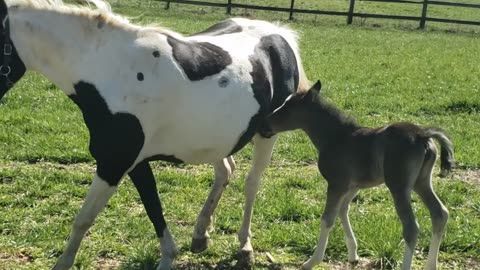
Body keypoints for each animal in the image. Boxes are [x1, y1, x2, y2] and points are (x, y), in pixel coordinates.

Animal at [0, 0, 308, 268]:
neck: (111, 71)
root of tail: (280, 35)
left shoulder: (114, 164)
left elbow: (84, 219)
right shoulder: (135, 163)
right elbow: (153, 209)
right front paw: (170, 255)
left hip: (266, 135)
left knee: (251, 184)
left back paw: (244, 248)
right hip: (216, 139)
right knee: (225, 171)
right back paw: (200, 234)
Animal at [262, 81, 454, 270]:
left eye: (287, 107)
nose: (264, 124)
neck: (335, 137)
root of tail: (423, 135)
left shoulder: (336, 184)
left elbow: (327, 219)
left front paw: (312, 261)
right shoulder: (353, 186)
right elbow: (342, 210)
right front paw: (353, 255)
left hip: (399, 186)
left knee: (411, 227)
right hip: (421, 182)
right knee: (440, 214)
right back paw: (431, 265)